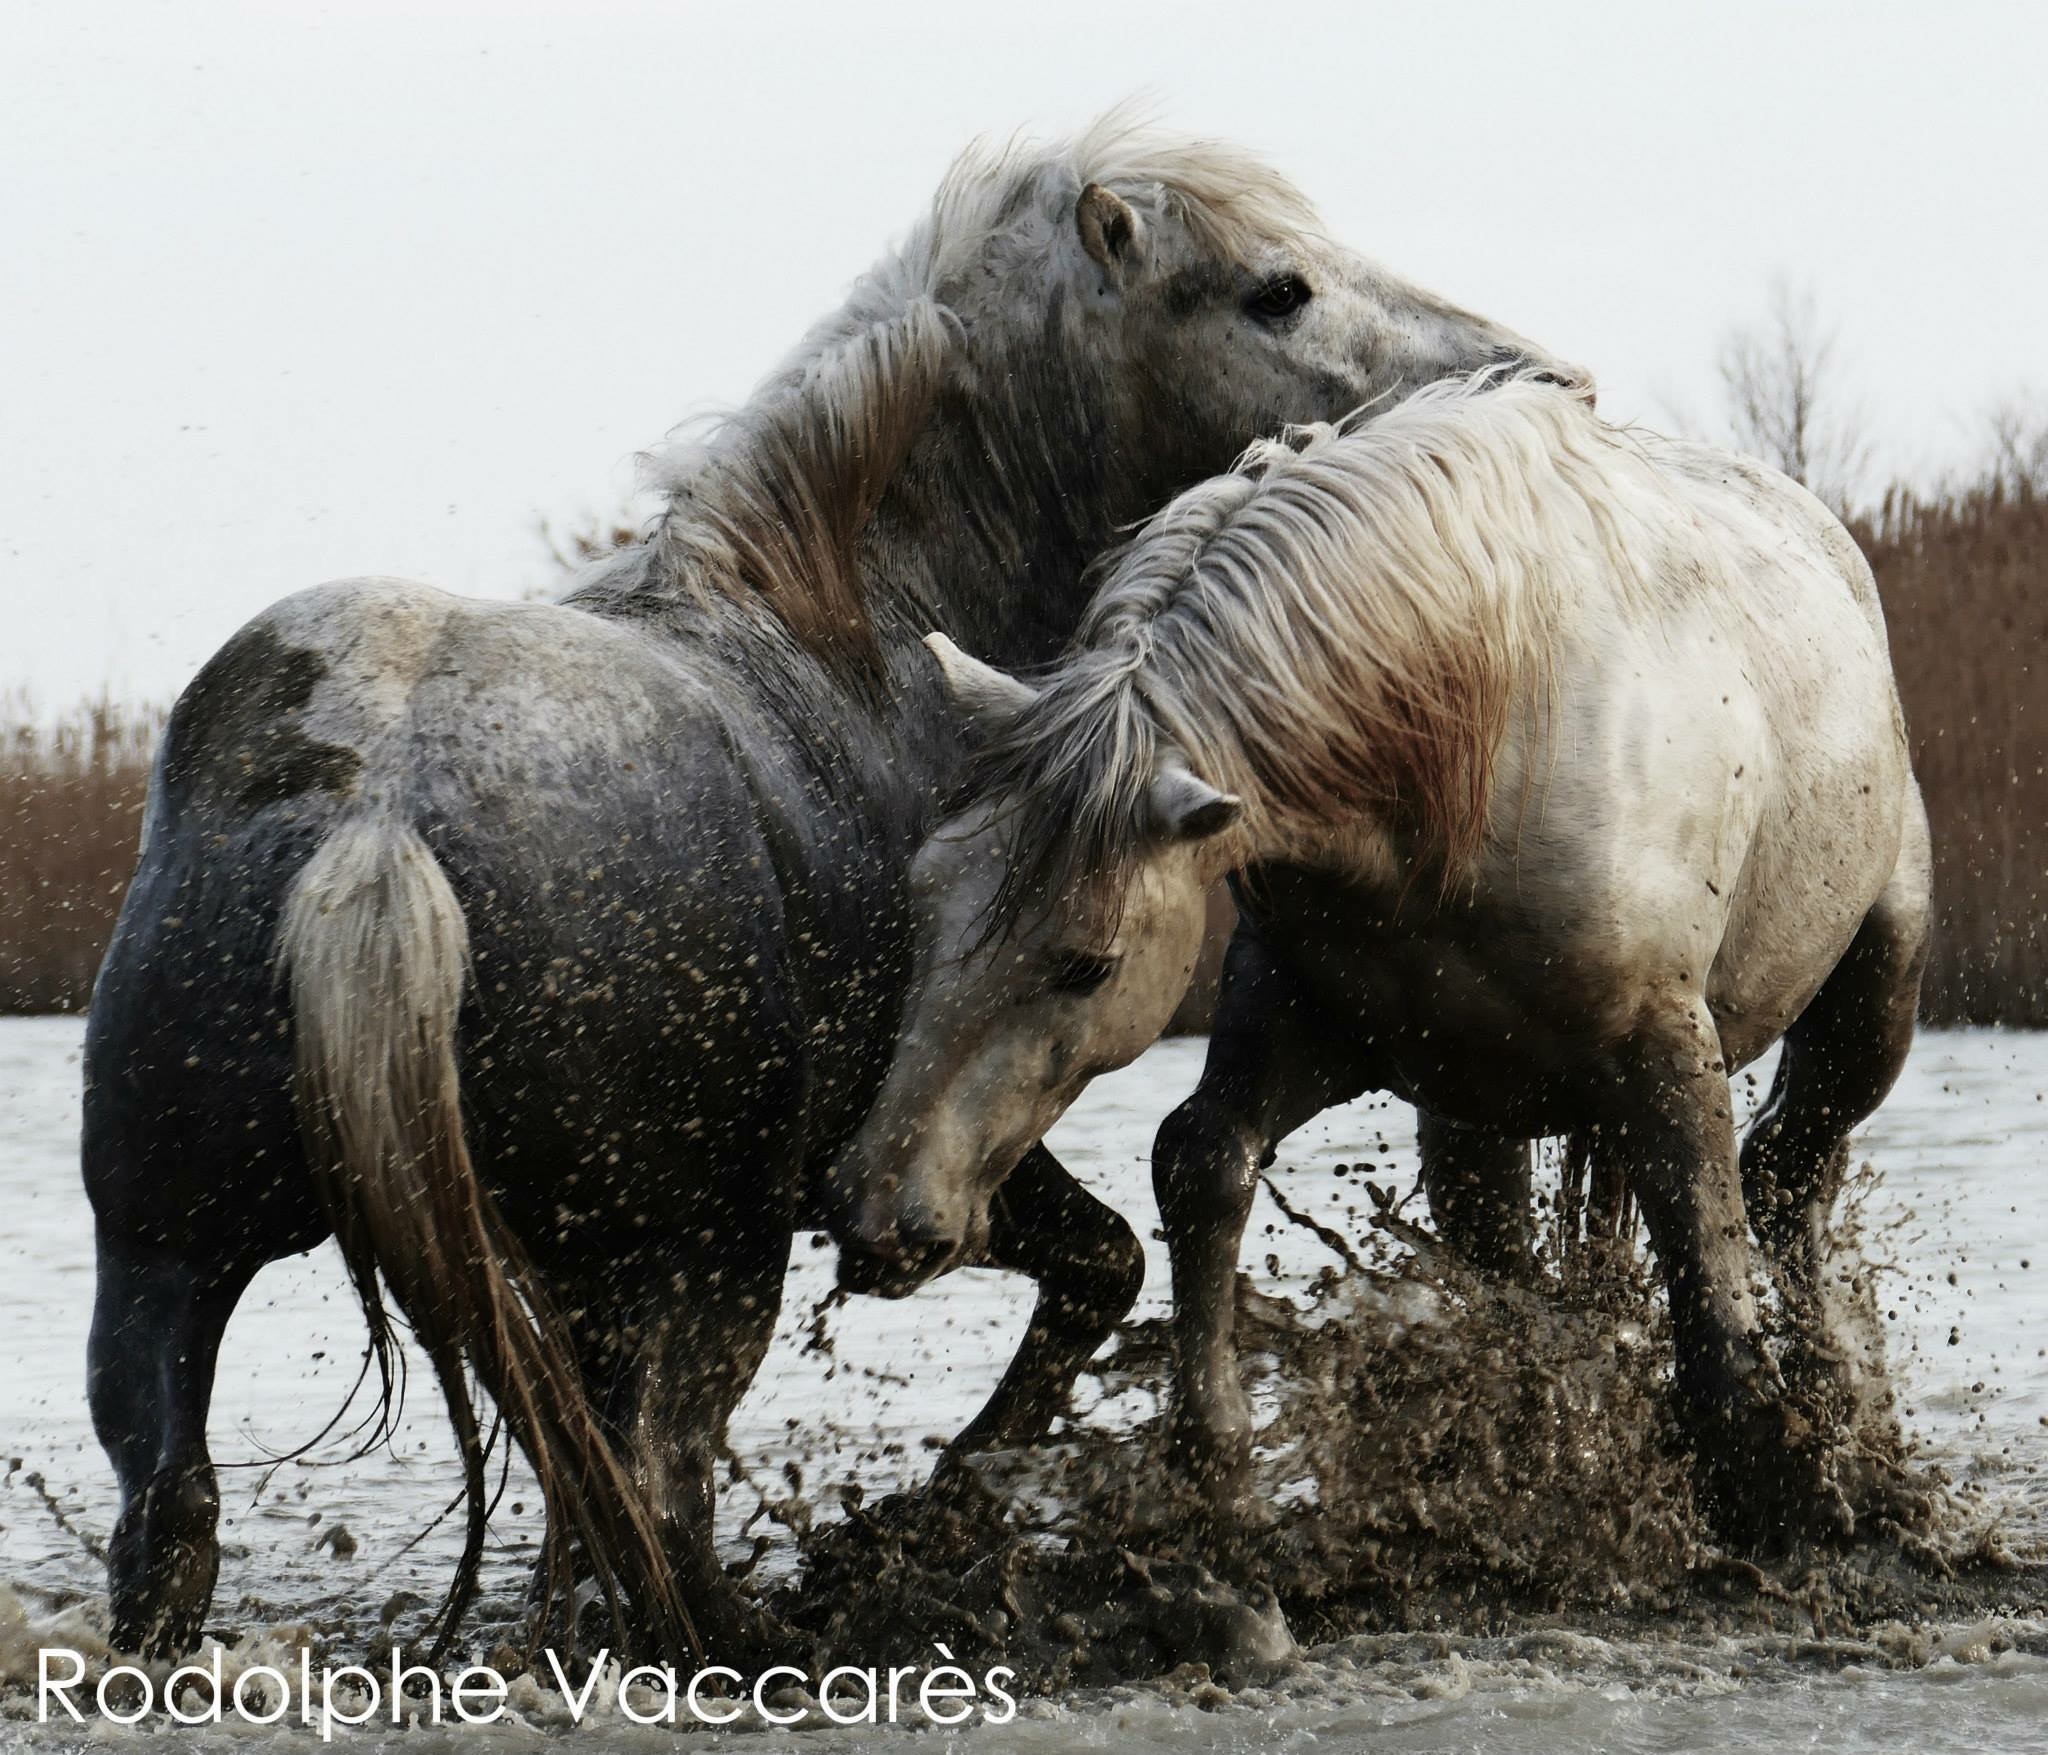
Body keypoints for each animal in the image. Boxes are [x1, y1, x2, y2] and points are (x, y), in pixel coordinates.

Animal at [83, 116, 1581, 1662]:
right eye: (1277, 289)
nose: (1542, 380)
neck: (858, 634)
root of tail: (373, 820)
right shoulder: (906, 1145)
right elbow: (1101, 1260)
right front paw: (939, 1505)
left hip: (164, 1252)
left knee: (176, 1502)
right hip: (696, 1259)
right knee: (663, 1487)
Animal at [823, 380, 1925, 1548]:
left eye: (1086, 966)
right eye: (923, 901)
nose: (878, 1212)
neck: (1478, 732)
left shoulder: (1663, 1044)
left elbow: (1704, 1241)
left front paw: (1775, 1484)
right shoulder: (1310, 1017)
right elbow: (1198, 1158)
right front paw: (1213, 1469)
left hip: (1869, 999)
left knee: (1785, 1175)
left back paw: (1842, 1419)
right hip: (1477, 1116)